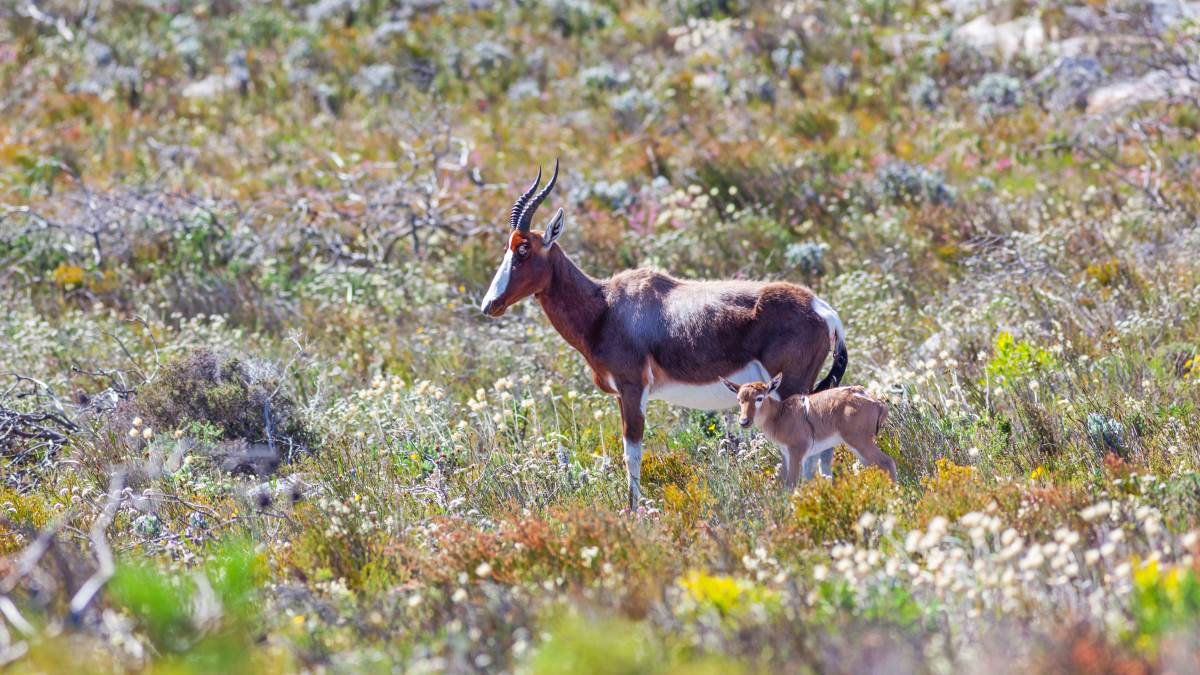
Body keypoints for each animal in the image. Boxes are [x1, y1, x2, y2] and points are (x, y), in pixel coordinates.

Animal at [720, 372, 892, 487]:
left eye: (759, 398)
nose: (744, 421)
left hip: (859, 441)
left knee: (886, 462)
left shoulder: (797, 451)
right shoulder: (787, 453)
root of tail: (877, 403)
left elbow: (791, 484)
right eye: (739, 399)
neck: (780, 414)